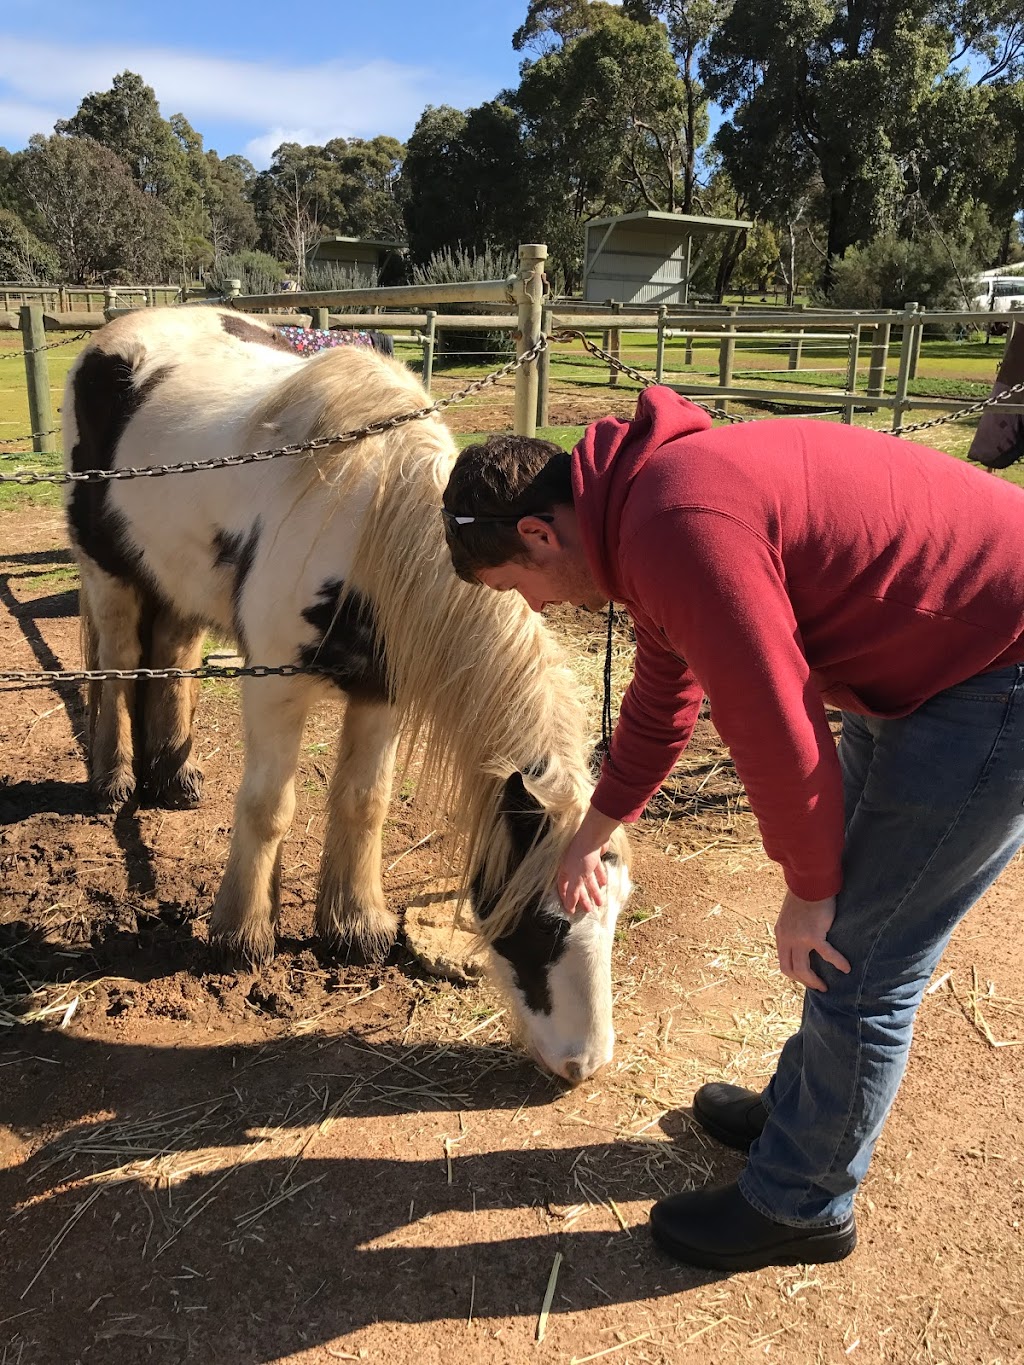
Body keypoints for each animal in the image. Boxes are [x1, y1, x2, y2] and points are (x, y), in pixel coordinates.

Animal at [64, 304, 633, 1081]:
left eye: (618, 913)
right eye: (545, 923)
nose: (585, 1065)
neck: (370, 523)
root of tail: (116, 334)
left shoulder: (381, 691)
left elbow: (364, 802)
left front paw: (354, 928)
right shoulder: (275, 682)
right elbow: (270, 806)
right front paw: (242, 935)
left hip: (177, 583)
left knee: (172, 655)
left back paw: (172, 779)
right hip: (108, 571)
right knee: (122, 663)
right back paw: (117, 780)